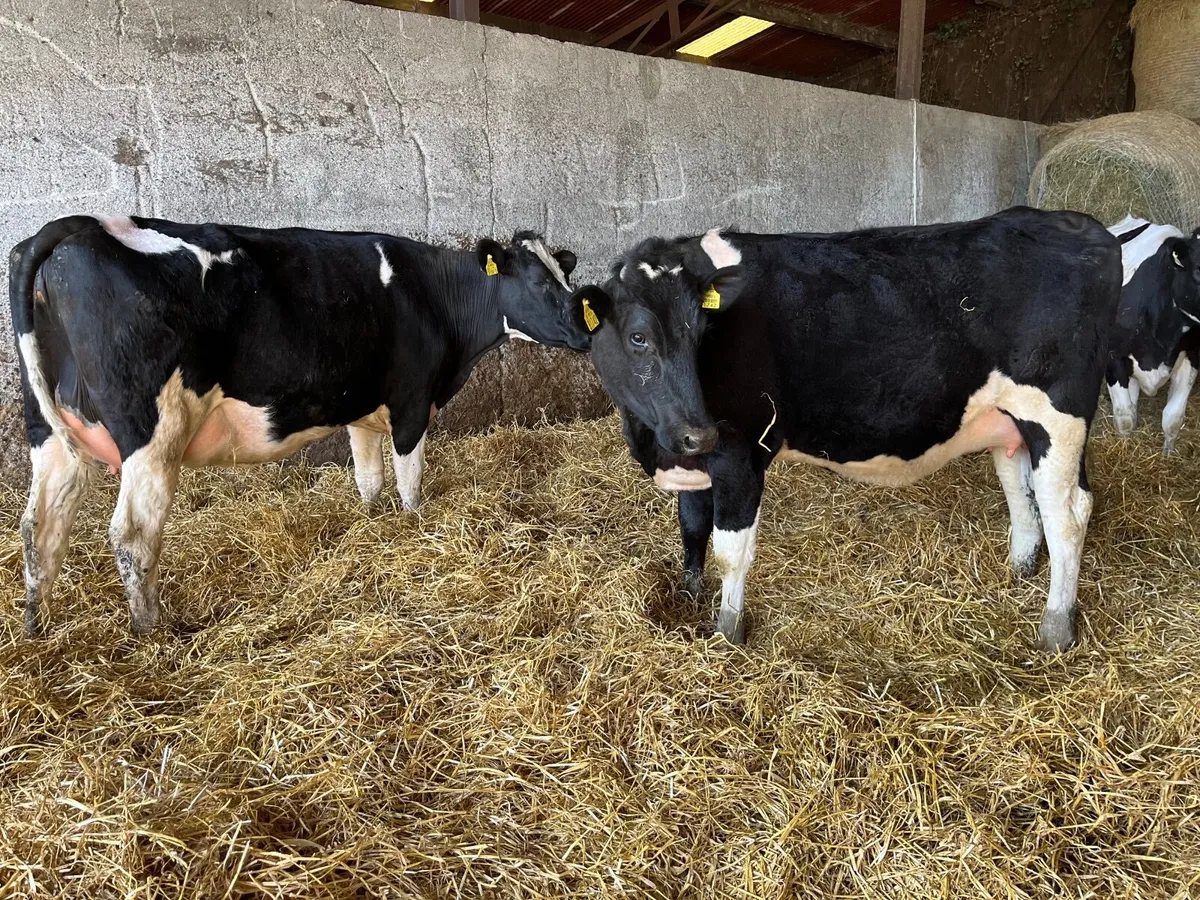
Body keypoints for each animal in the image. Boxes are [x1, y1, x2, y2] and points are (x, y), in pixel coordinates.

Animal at [10, 215, 590, 637]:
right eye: (538, 282)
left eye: (566, 278)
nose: (586, 334)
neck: (433, 295)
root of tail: (78, 225)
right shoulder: (411, 402)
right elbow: (410, 486)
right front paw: (414, 530)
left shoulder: (362, 409)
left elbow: (369, 481)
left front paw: (370, 525)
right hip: (153, 432)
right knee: (133, 533)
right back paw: (151, 634)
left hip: (49, 429)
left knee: (40, 525)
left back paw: (38, 629)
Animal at [569, 207, 1123, 653]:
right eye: (638, 337)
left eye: (703, 333)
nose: (699, 433)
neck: (653, 441)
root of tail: (1081, 225)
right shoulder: (691, 460)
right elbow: (690, 530)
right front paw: (687, 597)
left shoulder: (741, 455)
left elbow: (730, 551)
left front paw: (728, 632)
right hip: (1011, 419)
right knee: (1021, 488)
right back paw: (1019, 568)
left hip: (1058, 416)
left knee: (1069, 513)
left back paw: (1056, 627)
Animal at [1104, 215, 1200, 453]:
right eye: (1198, 271)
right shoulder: (1113, 358)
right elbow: (1125, 417)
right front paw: (1125, 448)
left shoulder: (1192, 356)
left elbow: (1173, 418)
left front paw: (1168, 454)